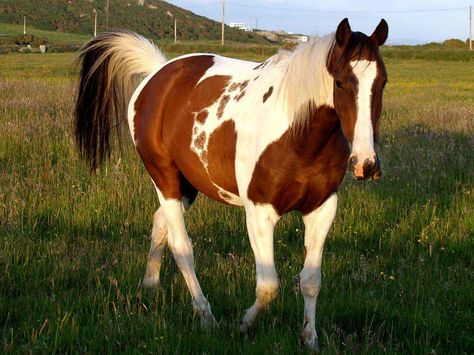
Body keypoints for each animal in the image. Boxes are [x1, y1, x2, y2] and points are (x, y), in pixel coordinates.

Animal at [75, 18, 388, 350]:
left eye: (382, 82)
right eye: (340, 82)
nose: (366, 164)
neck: (298, 135)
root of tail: (157, 73)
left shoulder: (322, 209)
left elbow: (311, 281)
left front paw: (310, 339)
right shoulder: (260, 213)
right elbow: (268, 286)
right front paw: (244, 324)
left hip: (188, 187)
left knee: (160, 224)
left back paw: (150, 286)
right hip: (164, 179)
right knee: (182, 247)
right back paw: (206, 317)